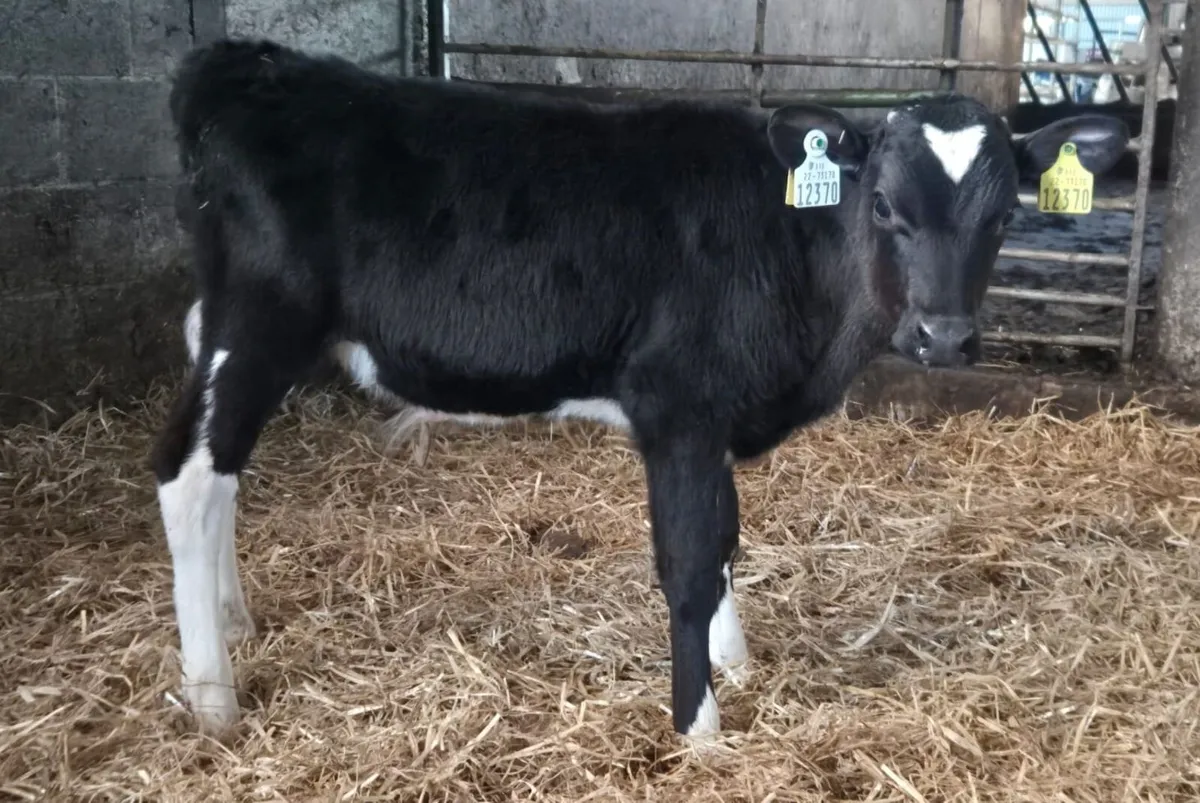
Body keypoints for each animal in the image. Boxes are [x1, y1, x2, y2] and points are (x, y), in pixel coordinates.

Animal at [152, 38, 1130, 743]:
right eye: (884, 203)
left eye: (1004, 214)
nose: (945, 337)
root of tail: (250, 62)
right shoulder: (679, 406)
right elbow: (692, 561)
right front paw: (702, 729)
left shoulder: (716, 415)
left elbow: (729, 540)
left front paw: (737, 662)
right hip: (263, 318)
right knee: (190, 475)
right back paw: (214, 699)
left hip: (228, 324)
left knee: (221, 461)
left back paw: (236, 621)